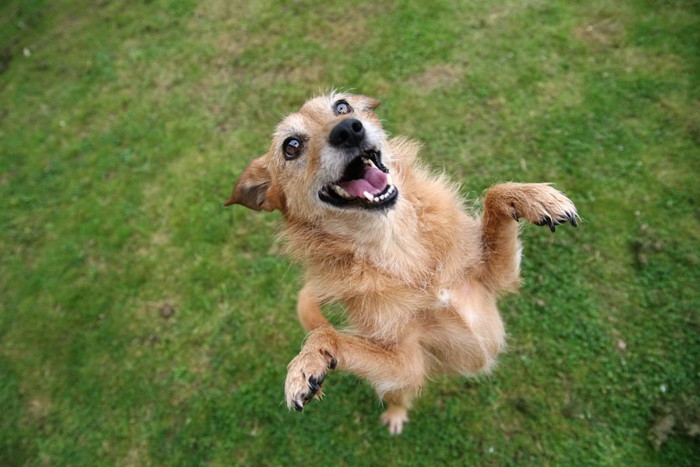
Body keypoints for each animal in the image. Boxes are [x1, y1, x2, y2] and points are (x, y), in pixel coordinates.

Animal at [226, 91, 580, 436]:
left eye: (342, 106)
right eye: (291, 146)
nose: (348, 129)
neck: (398, 245)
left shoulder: (495, 279)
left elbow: (494, 194)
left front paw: (535, 198)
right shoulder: (407, 364)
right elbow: (328, 335)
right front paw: (309, 361)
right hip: (400, 384)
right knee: (397, 396)